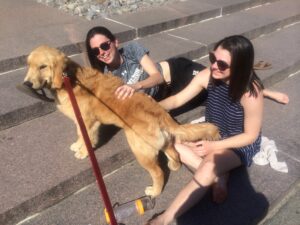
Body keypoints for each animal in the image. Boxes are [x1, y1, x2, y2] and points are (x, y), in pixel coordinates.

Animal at [23, 45, 219, 197]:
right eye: (29, 65)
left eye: (42, 66)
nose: (26, 84)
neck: (69, 78)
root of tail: (160, 111)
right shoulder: (85, 121)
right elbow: (80, 135)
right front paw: (78, 145)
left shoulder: (87, 121)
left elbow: (86, 138)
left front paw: (83, 152)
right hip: (160, 142)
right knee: (174, 152)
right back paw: (175, 165)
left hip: (140, 149)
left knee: (158, 172)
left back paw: (155, 191)